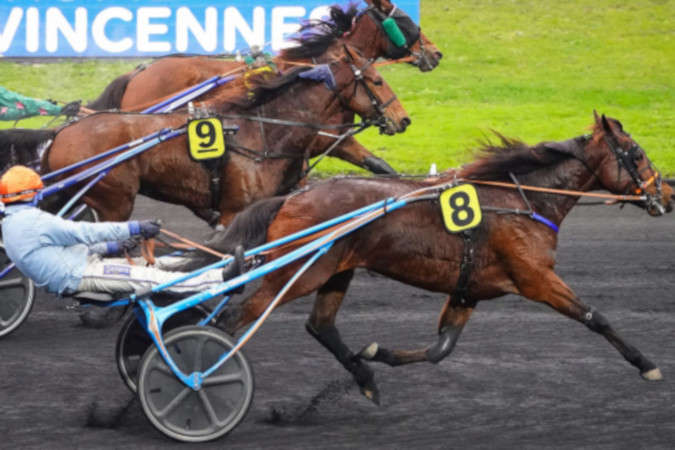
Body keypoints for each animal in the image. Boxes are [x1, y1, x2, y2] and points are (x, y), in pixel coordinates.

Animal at [43, 44, 410, 228]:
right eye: (377, 81)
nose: (403, 119)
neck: (261, 131)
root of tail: (61, 134)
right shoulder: (236, 209)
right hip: (114, 201)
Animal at [86, 0, 442, 175]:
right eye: (407, 20)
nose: (436, 53)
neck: (320, 70)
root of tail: (140, 71)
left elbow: (382, 168)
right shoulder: (318, 141)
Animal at [196, 112, 672, 404]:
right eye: (637, 154)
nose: (666, 193)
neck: (523, 200)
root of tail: (292, 196)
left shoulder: (469, 290)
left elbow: (441, 348)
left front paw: (379, 353)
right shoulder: (536, 279)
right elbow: (596, 317)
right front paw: (647, 365)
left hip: (335, 272)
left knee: (321, 325)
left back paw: (366, 381)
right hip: (298, 272)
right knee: (233, 319)